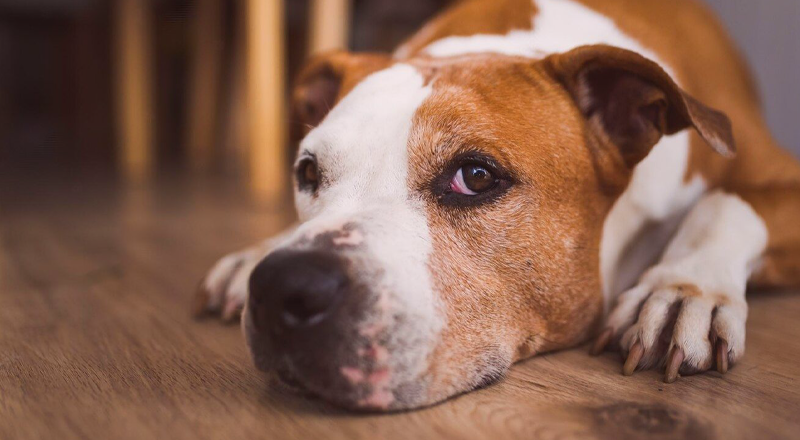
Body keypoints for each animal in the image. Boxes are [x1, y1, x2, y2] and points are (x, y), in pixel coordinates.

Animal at [194, 0, 800, 412]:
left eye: (476, 176)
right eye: (308, 172)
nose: (282, 287)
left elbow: (727, 202)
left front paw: (682, 289)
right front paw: (257, 252)